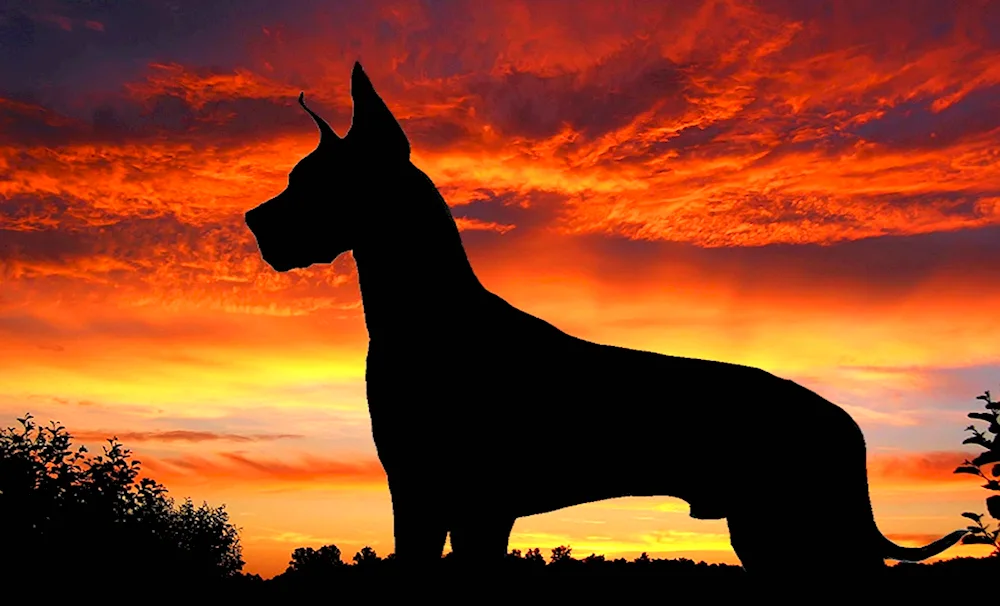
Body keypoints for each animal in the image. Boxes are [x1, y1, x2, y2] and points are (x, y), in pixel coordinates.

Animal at [244, 63, 968, 584]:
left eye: (310, 182)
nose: (252, 221)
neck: (429, 317)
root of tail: (848, 425)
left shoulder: (465, 505)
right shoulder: (429, 501)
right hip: (769, 534)